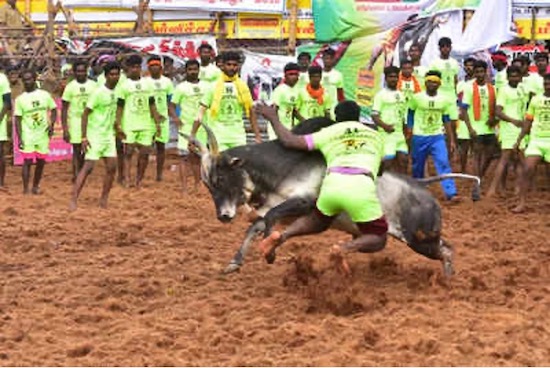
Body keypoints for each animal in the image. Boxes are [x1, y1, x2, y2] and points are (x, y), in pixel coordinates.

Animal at [187, 118, 484, 276]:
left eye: (221, 178)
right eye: (208, 186)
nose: (223, 216)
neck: (282, 167)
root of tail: (421, 189)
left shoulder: (305, 202)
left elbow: (269, 220)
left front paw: (270, 253)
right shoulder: (288, 210)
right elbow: (257, 226)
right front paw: (236, 262)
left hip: (419, 239)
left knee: (446, 250)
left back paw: (446, 280)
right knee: (442, 246)